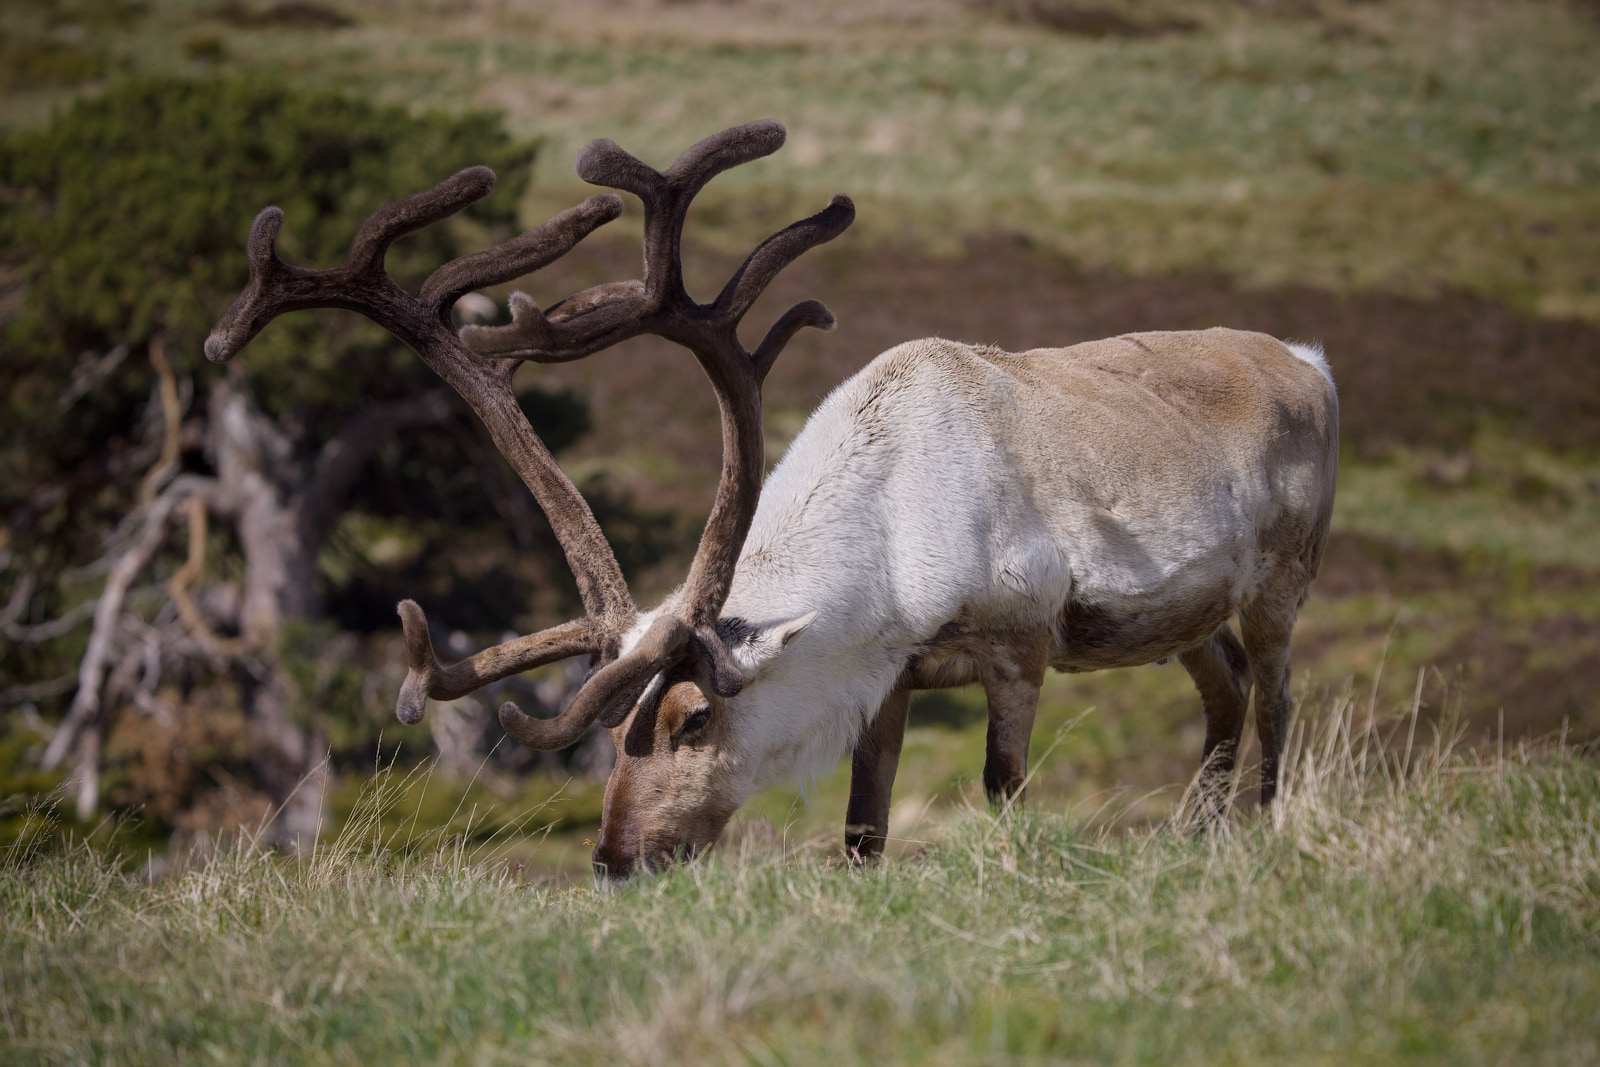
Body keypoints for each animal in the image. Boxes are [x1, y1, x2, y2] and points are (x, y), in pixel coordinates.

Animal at [207, 121, 1339, 878]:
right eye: (603, 735)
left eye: (696, 715)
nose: (616, 857)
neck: (897, 537)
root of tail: (1307, 357)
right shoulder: (894, 672)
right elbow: (863, 824)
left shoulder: (1019, 641)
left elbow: (1003, 786)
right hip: (1185, 614)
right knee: (1225, 690)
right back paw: (1197, 836)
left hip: (1284, 578)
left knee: (1277, 695)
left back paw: (1258, 828)